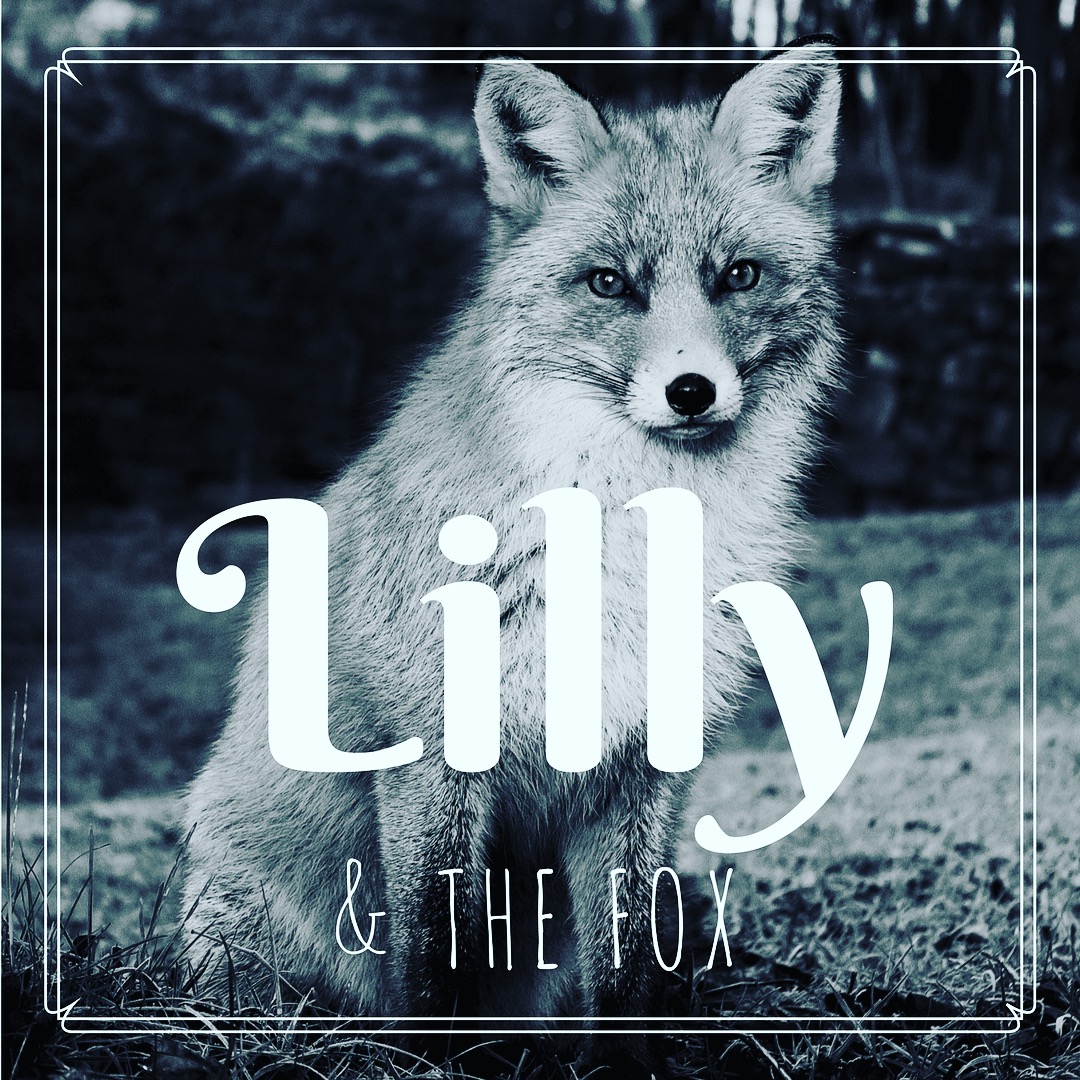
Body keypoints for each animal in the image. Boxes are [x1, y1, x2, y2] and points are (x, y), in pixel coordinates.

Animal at [182, 44, 843, 1040]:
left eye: (739, 275)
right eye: (609, 282)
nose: (691, 391)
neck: (620, 536)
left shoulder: (641, 759)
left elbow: (628, 964)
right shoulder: (431, 750)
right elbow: (438, 946)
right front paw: (442, 1059)